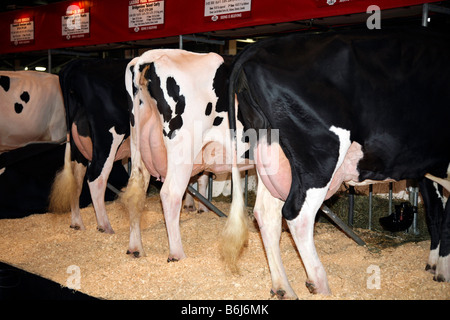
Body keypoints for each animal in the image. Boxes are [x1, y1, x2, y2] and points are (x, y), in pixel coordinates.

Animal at [224, 26, 450, 298]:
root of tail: (258, 46)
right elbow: (447, 220)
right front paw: (443, 271)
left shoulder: (430, 171)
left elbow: (437, 214)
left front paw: (435, 265)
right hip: (319, 156)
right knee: (297, 215)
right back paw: (319, 283)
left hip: (273, 155)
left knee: (267, 214)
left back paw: (283, 288)